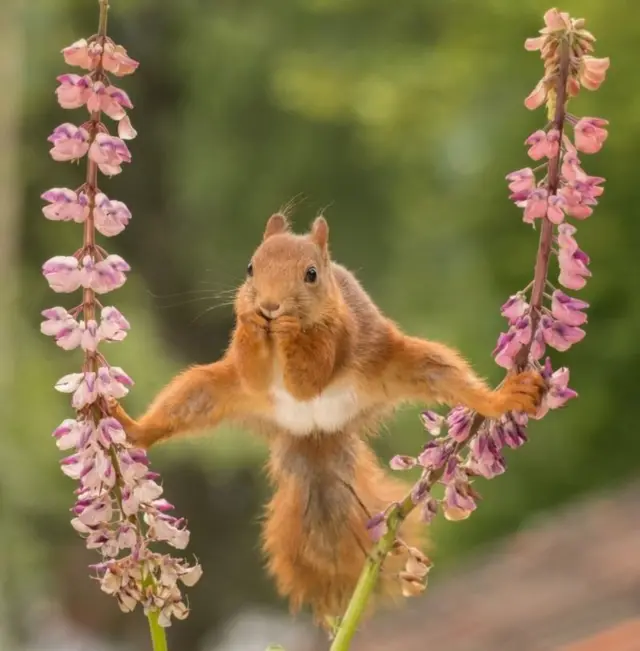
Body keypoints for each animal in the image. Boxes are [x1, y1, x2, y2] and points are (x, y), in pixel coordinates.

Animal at [109, 213, 544, 625]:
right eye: (250, 267)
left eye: (312, 274)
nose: (269, 307)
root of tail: (315, 432)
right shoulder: (248, 377)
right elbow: (252, 369)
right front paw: (251, 320)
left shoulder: (341, 334)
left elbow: (311, 375)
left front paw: (288, 329)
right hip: (206, 390)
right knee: (181, 405)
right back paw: (131, 429)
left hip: (408, 363)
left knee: (447, 376)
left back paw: (502, 398)